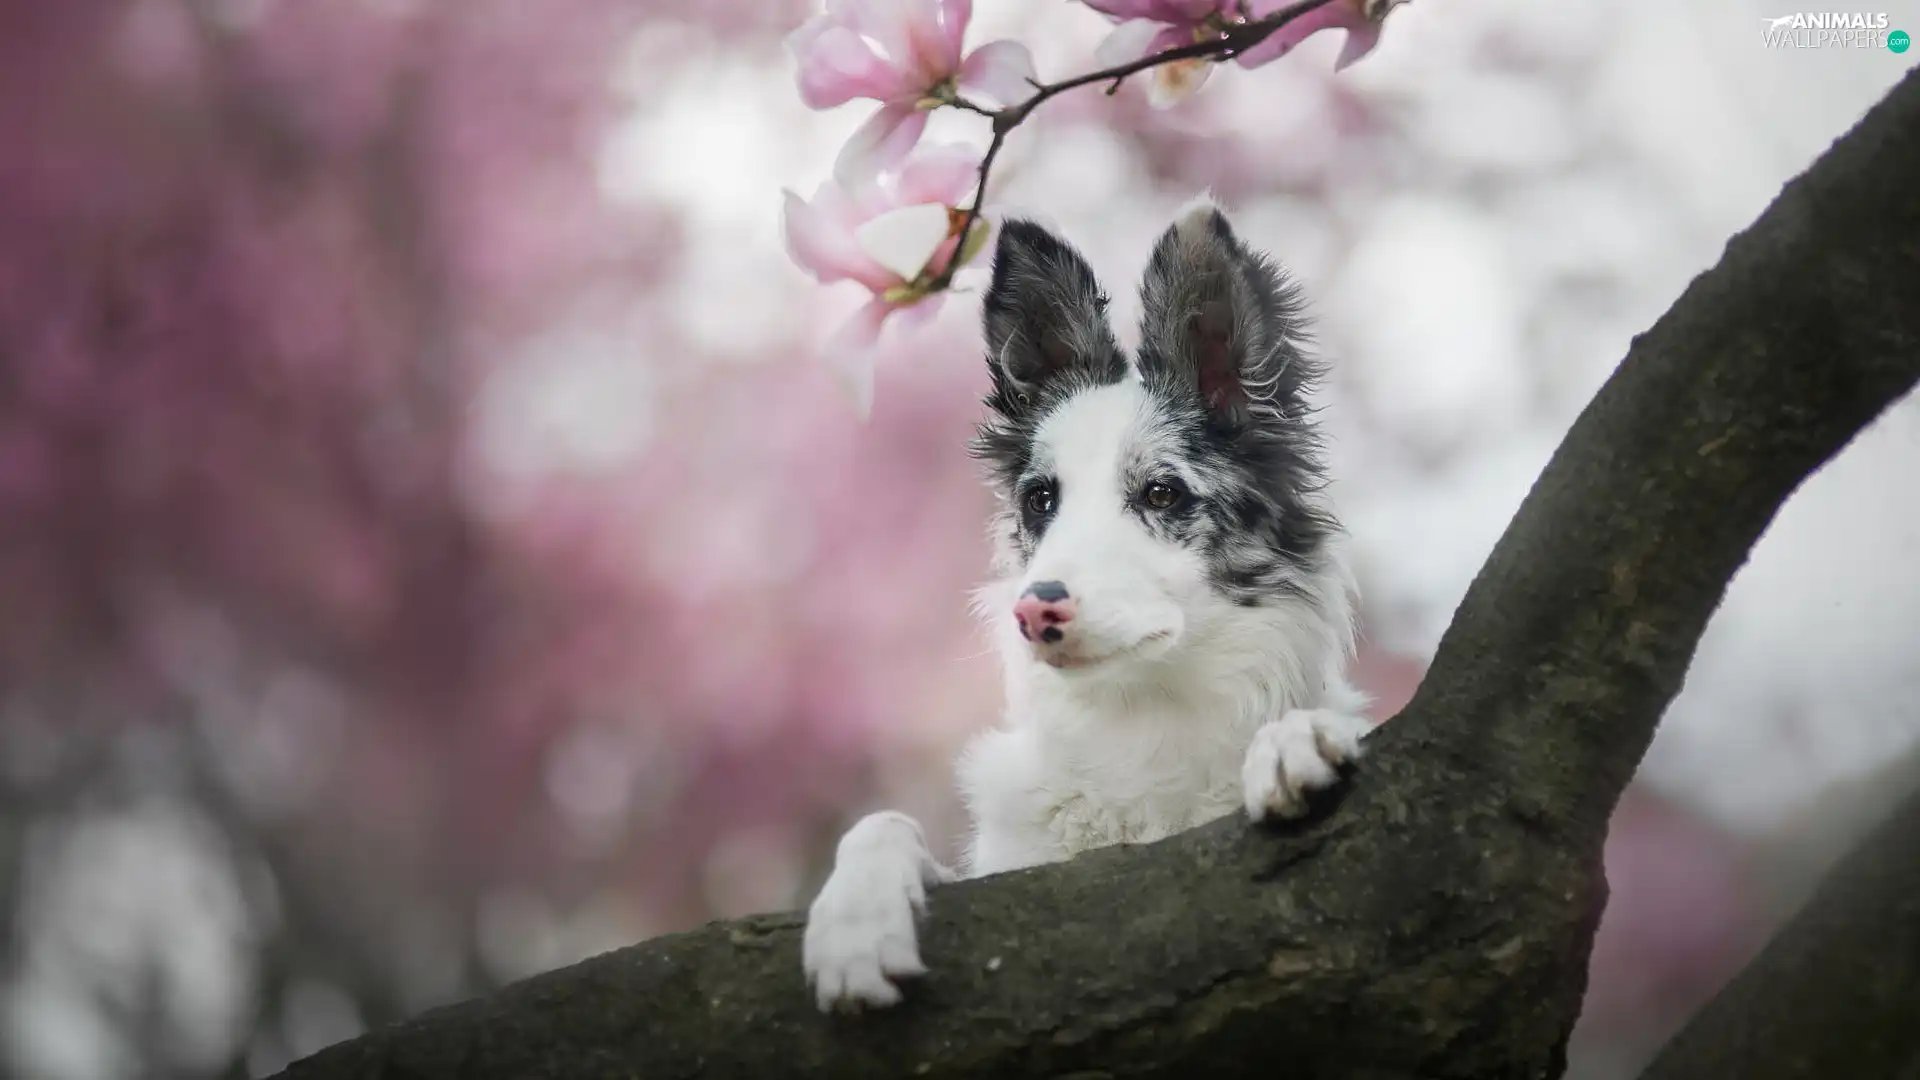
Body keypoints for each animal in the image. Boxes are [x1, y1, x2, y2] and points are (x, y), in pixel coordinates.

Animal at [802, 197, 1374, 1014]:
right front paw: (854, 927)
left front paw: (1296, 738)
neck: (1142, 721)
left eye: (1161, 492)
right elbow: (882, 822)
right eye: (1041, 499)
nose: (1035, 612)